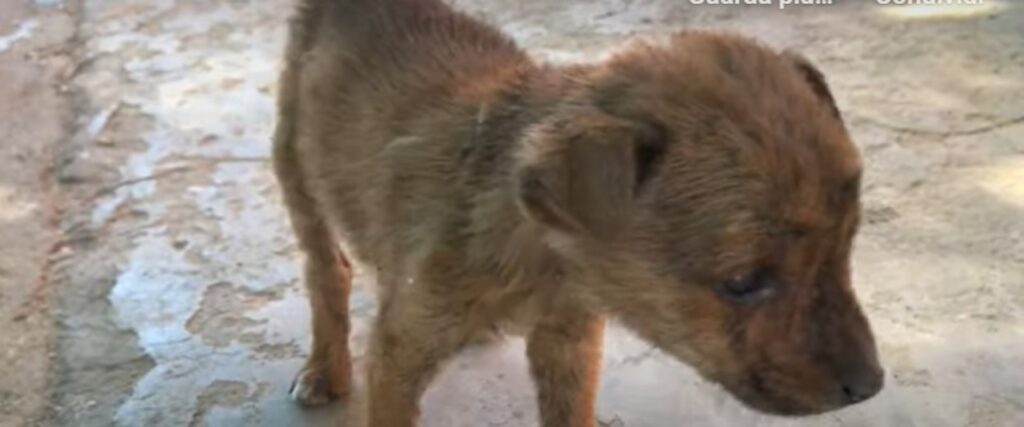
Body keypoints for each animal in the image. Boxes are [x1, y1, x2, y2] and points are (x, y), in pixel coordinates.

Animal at [272, 0, 880, 423]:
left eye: (848, 247)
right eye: (742, 282)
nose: (870, 387)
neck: (543, 256)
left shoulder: (570, 340)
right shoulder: (400, 352)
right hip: (294, 167)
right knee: (327, 270)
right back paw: (324, 370)